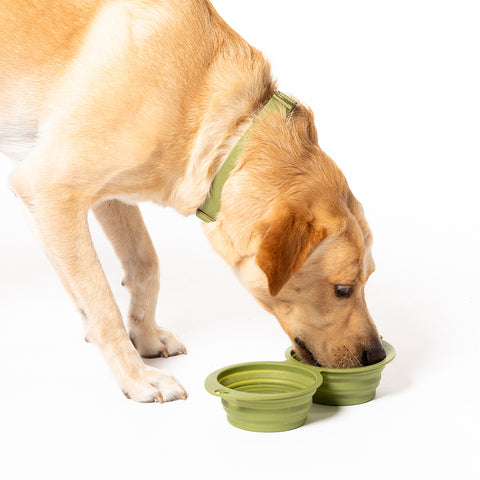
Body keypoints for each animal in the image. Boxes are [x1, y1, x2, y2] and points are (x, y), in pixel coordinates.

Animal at [0, 0, 386, 402]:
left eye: (368, 278)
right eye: (343, 290)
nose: (376, 354)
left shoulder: (105, 194)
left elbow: (144, 264)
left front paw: (144, 336)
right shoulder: (48, 190)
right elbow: (102, 302)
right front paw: (137, 377)